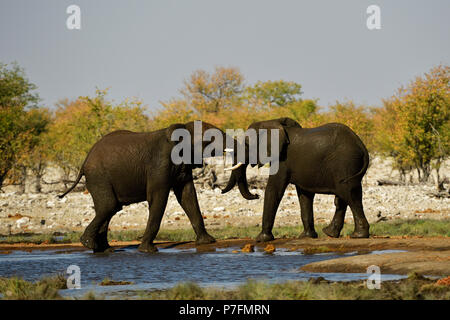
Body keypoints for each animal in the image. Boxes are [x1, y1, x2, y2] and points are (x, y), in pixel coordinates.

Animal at [59, 120, 246, 252]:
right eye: (211, 139)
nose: (221, 191)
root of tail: (84, 162)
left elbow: (187, 196)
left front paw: (208, 241)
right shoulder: (160, 164)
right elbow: (158, 198)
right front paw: (148, 250)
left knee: (108, 208)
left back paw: (105, 250)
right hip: (99, 177)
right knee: (109, 206)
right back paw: (89, 244)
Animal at [223, 119, 370, 241]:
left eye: (247, 144)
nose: (256, 195)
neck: (272, 122)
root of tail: (361, 145)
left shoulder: (282, 161)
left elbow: (273, 190)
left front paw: (261, 239)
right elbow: (304, 195)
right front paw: (306, 237)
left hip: (345, 163)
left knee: (349, 194)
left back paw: (358, 236)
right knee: (345, 196)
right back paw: (331, 233)